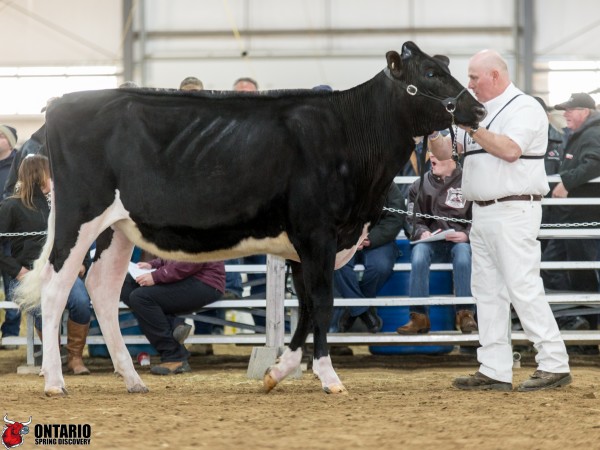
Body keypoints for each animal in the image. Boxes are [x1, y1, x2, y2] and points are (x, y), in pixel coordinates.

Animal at [15, 41, 485, 397]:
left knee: (102, 287)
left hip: (119, 226)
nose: (478, 109)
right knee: (57, 287)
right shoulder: (318, 233)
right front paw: (328, 377)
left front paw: (279, 371)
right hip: (80, 215)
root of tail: (64, 102)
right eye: (429, 73)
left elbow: (308, 306)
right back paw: (54, 381)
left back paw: (132, 379)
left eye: (445, 67)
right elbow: (324, 302)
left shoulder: (303, 244)